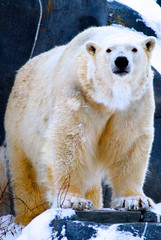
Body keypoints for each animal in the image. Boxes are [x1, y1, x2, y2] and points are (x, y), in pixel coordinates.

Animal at [4, 25, 156, 224]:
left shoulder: (134, 102)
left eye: (134, 49)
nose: (121, 61)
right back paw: (30, 215)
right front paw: (73, 201)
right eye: (108, 50)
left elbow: (128, 143)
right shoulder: (77, 92)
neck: (108, 97)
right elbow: (69, 140)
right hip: (19, 126)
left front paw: (135, 200)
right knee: (26, 174)